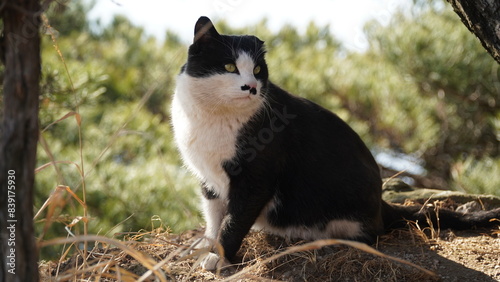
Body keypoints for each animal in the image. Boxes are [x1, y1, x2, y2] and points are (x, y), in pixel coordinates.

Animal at [172, 16, 500, 270]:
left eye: (257, 70)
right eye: (229, 67)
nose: (251, 87)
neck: (214, 117)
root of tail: (381, 202)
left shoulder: (256, 179)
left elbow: (234, 220)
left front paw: (219, 258)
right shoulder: (208, 177)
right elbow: (214, 215)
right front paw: (205, 244)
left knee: (370, 233)